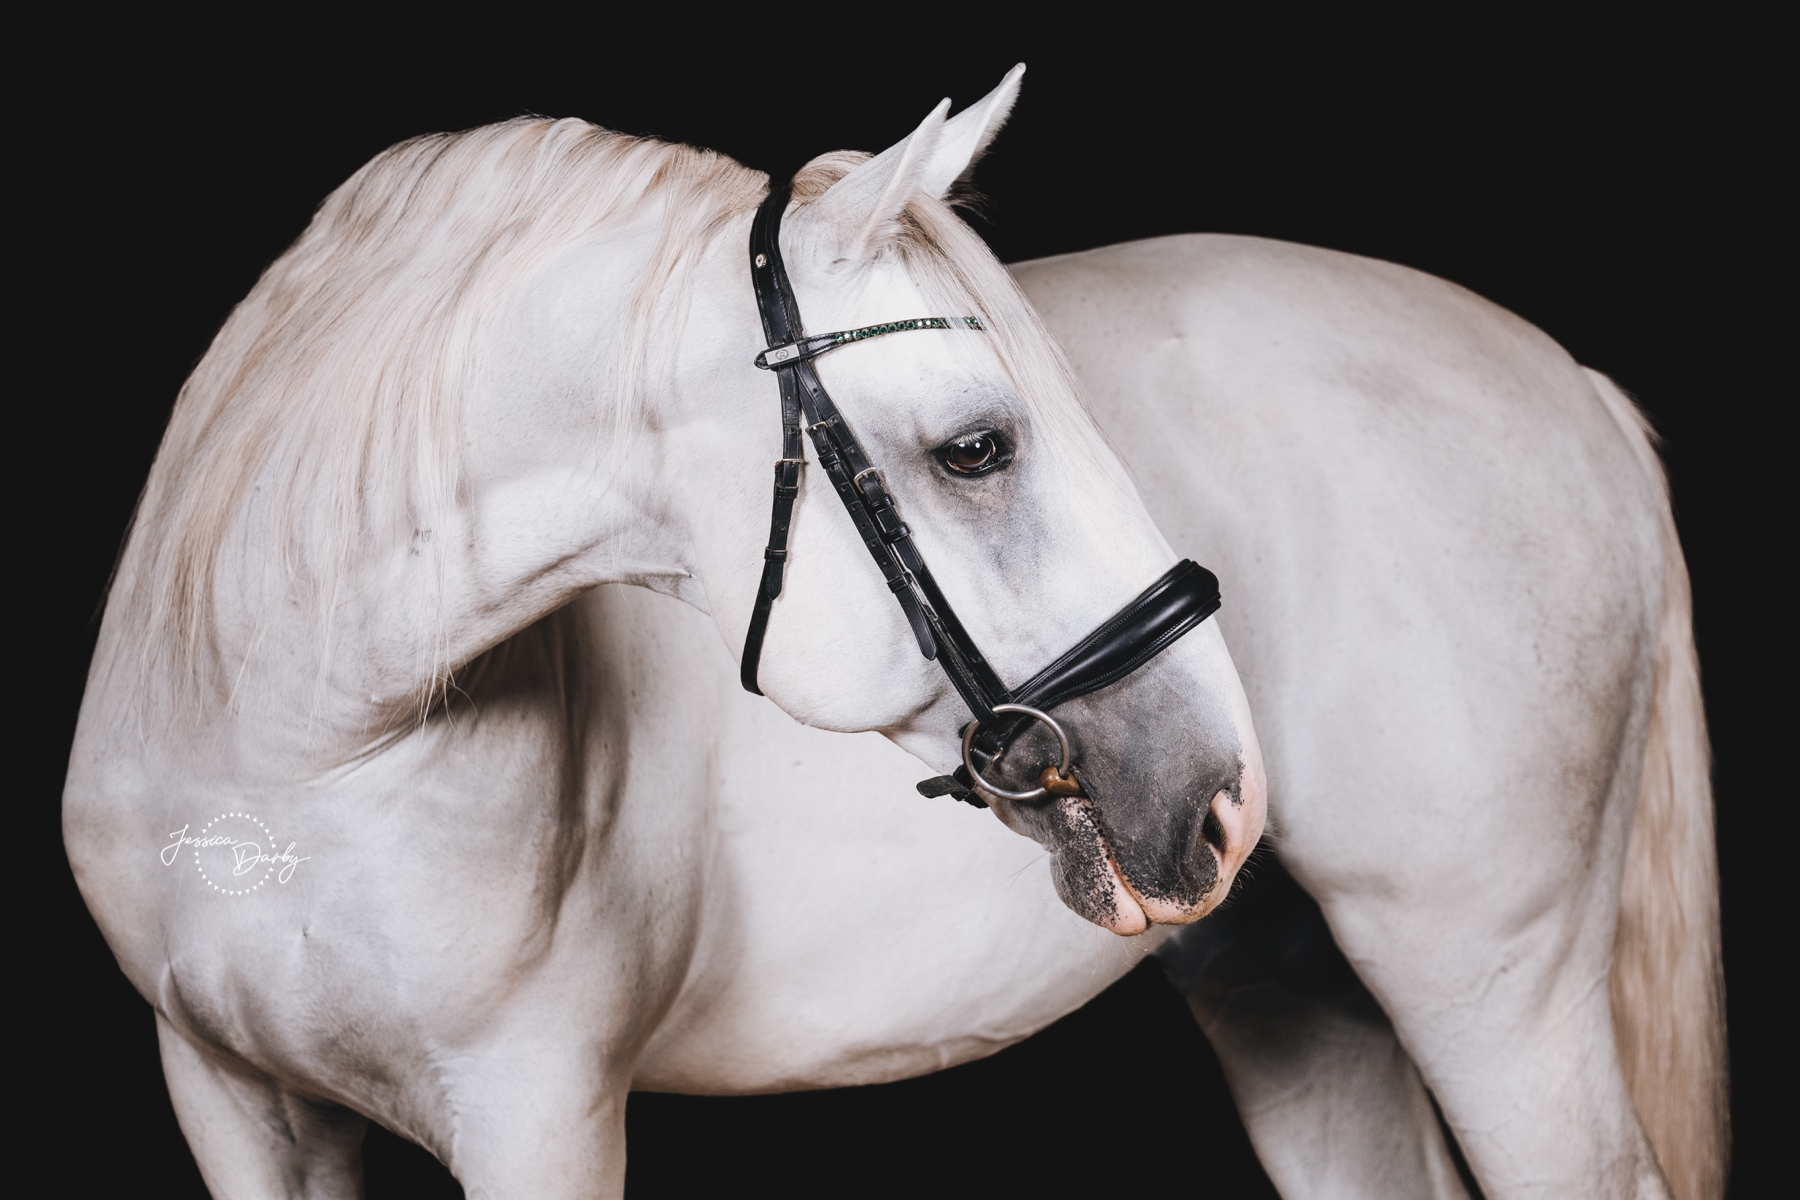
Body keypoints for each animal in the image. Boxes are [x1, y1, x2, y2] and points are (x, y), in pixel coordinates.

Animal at [62, 68, 1724, 1199]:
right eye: (979, 446)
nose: (1219, 789)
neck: (297, 749)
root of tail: (1569, 379)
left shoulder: (537, 1109)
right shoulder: (229, 1102)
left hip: (1491, 980)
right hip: (1297, 987)